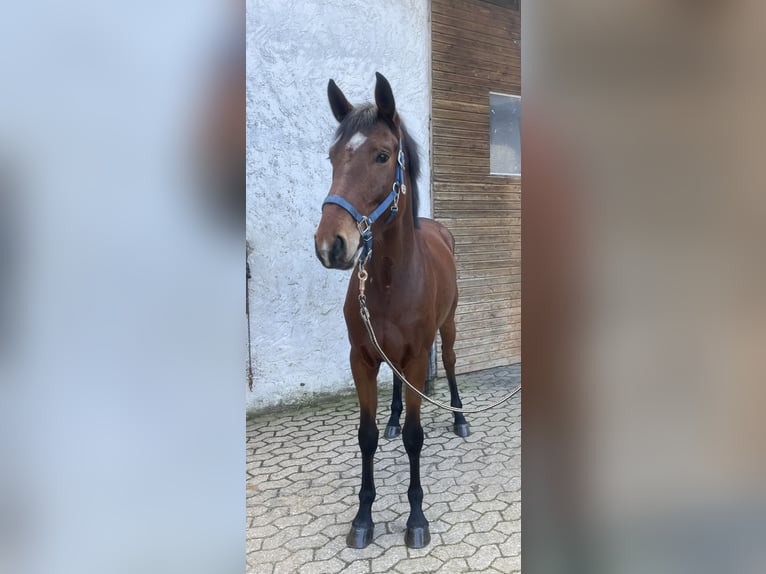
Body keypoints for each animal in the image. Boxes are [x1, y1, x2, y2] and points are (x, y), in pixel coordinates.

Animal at [316, 74, 472, 552]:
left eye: (382, 155)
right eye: (332, 157)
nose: (331, 245)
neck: (388, 279)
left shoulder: (419, 356)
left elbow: (415, 438)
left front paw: (416, 518)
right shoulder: (362, 359)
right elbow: (365, 437)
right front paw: (363, 517)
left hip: (448, 328)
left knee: (452, 364)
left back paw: (460, 418)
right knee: (398, 389)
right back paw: (392, 417)